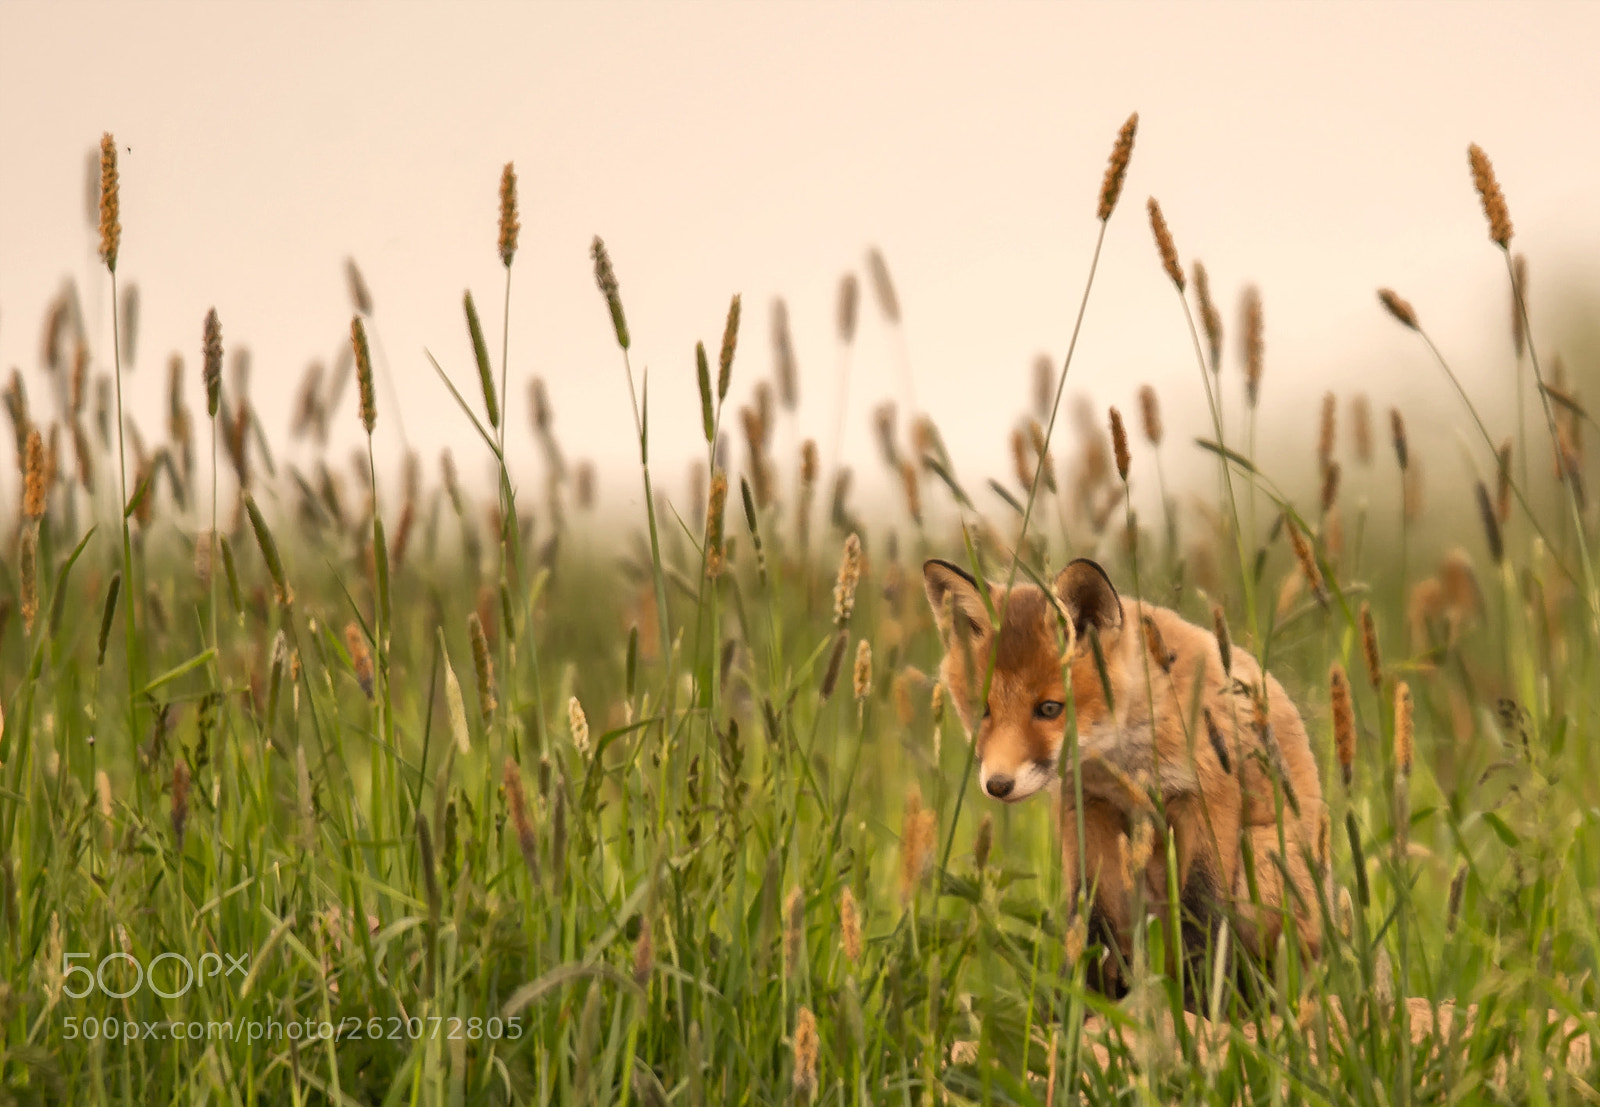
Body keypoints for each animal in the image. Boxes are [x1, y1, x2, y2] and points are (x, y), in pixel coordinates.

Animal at [923, 556, 1327, 997]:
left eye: (1049, 709)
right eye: (983, 710)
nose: (998, 785)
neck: (1126, 760)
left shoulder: (1206, 798)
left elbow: (1201, 911)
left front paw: (1200, 998)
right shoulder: (1090, 807)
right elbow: (1093, 921)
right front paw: (1082, 1000)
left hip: (1263, 866)